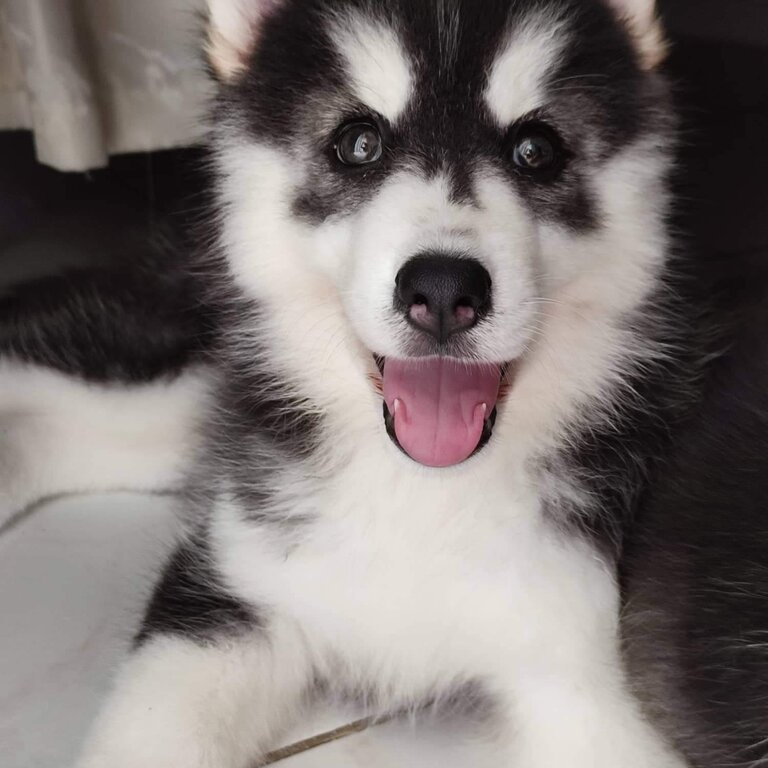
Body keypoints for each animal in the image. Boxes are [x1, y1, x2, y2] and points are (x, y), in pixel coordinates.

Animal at [7, 0, 768, 764]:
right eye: (358, 143)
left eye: (536, 149)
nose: (443, 289)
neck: (420, 494)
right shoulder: (234, 589)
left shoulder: (585, 673)